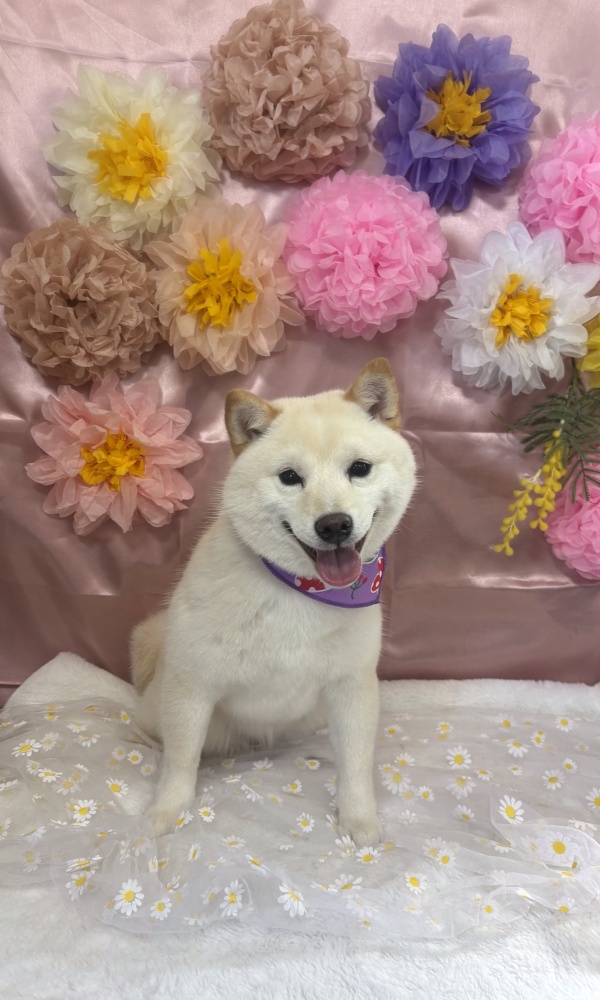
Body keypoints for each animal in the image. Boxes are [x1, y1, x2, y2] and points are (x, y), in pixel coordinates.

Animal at [131, 358, 417, 846]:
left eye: (359, 468)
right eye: (289, 477)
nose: (334, 524)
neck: (301, 591)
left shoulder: (351, 685)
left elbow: (356, 765)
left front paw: (358, 822)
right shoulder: (193, 685)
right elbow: (180, 761)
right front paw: (166, 815)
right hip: (177, 707)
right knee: (160, 733)